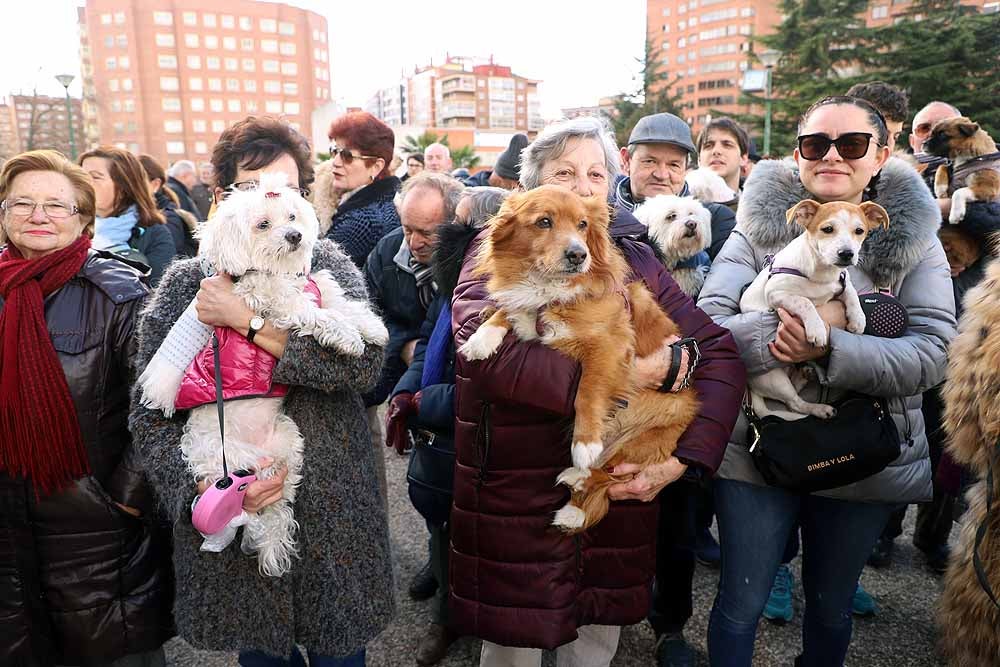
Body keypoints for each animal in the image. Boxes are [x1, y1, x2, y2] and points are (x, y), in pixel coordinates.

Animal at [139, 175, 388, 576]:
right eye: (262, 224)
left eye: (292, 216)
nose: (295, 236)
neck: (277, 269)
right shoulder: (274, 298)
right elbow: (318, 313)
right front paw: (347, 336)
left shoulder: (317, 285)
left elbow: (341, 302)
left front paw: (370, 327)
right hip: (230, 463)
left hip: (288, 441)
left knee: (279, 498)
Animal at [458, 185, 700, 536]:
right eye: (544, 222)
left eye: (583, 225)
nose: (578, 255)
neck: (550, 288)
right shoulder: (529, 306)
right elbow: (510, 308)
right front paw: (481, 337)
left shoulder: (609, 346)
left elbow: (588, 389)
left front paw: (584, 443)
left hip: (641, 438)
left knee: (611, 476)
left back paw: (578, 481)